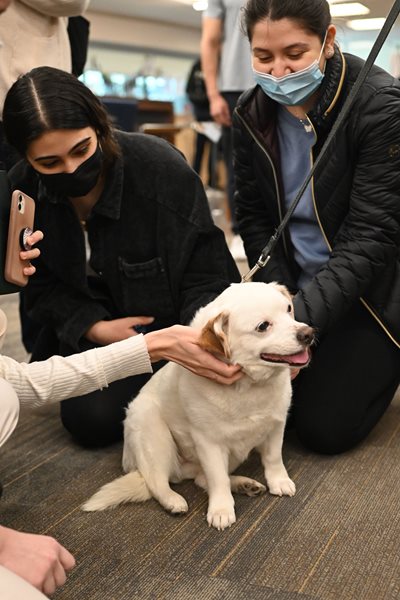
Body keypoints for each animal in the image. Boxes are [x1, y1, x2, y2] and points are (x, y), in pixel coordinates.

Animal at [83, 282, 314, 528]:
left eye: (288, 309)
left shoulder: (276, 427)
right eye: (263, 326)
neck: (249, 388)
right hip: (155, 436)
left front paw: (279, 481)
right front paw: (221, 509)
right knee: (158, 482)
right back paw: (173, 500)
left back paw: (243, 484)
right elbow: (218, 480)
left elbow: (273, 459)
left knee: (201, 480)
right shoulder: (209, 443)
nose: (308, 333)